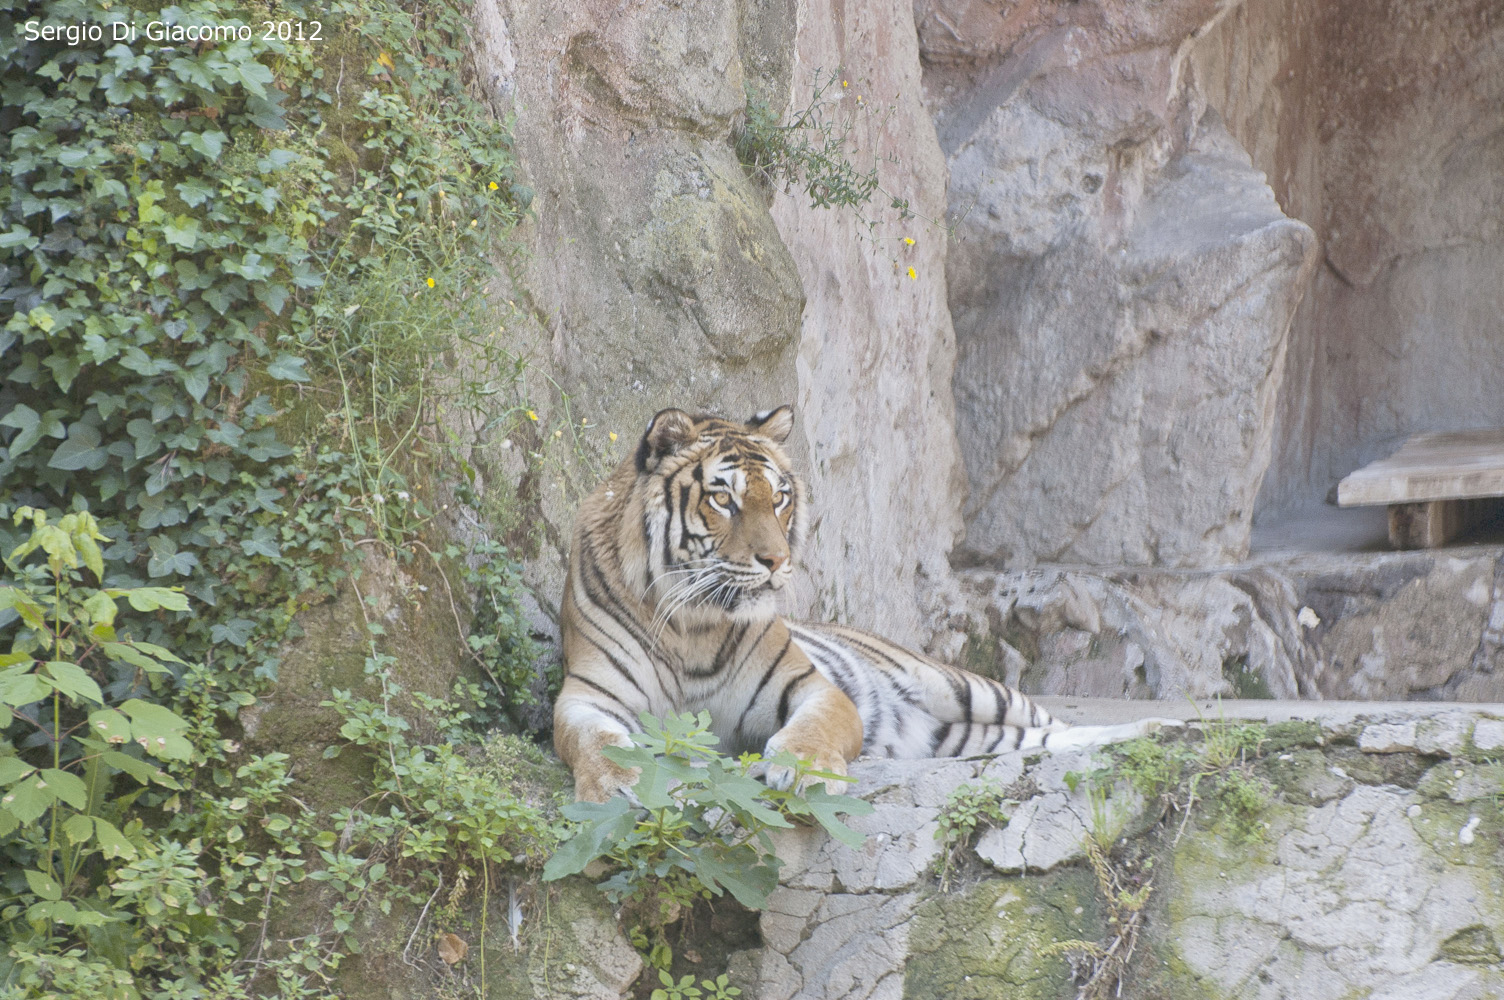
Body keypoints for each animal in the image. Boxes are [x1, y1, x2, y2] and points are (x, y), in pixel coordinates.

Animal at [553, 404, 1175, 803]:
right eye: (723, 499)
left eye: (779, 498)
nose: (776, 561)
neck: (693, 624)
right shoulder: (587, 695)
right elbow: (595, 741)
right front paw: (619, 784)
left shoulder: (812, 688)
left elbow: (814, 729)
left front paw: (805, 773)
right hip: (967, 738)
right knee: (1036, 744)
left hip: (964, 687)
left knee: (1056, 726)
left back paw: (1154, 729)